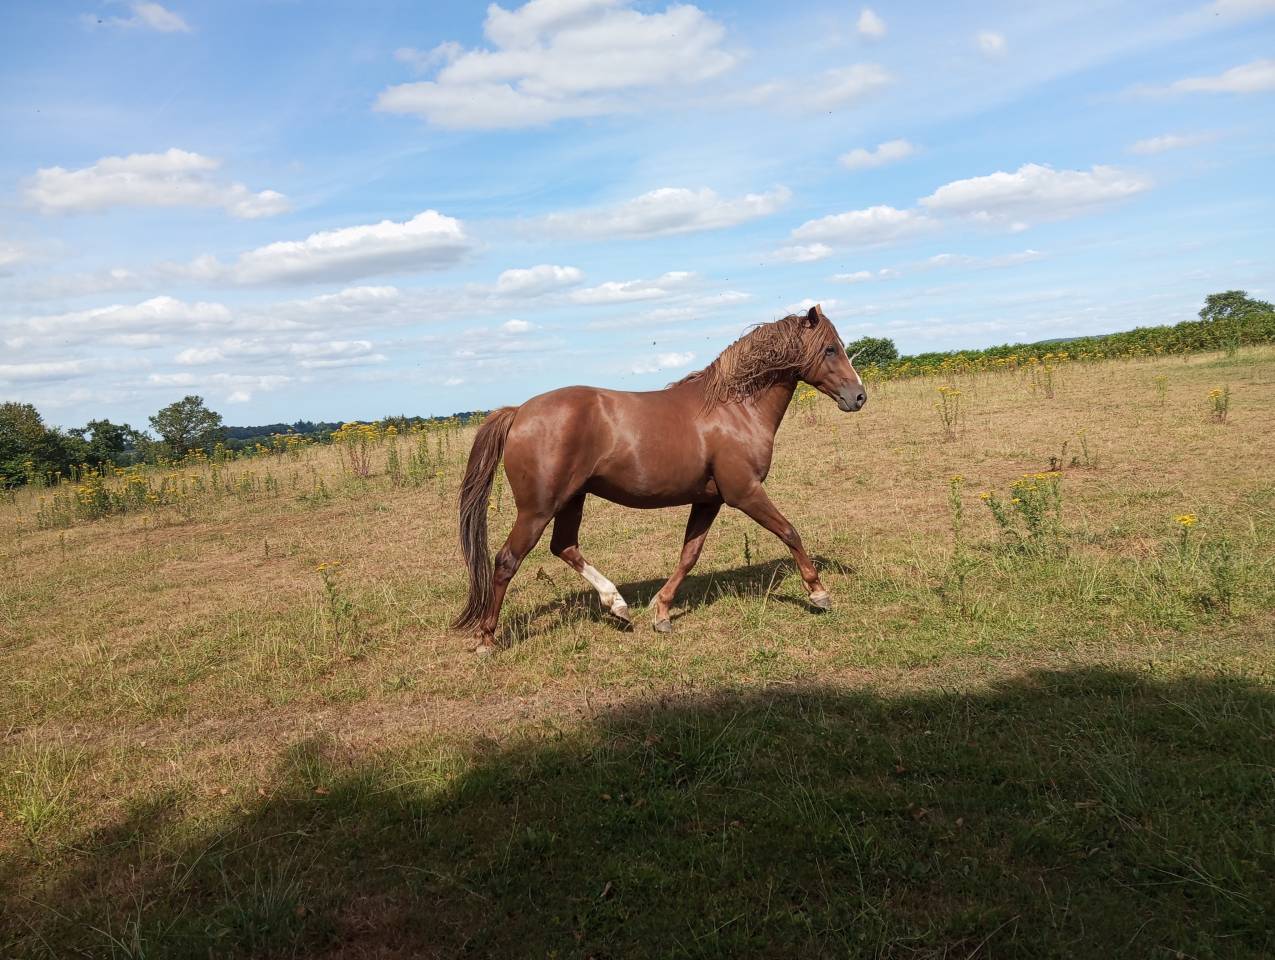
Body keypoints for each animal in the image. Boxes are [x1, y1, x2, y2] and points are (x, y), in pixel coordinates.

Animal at [452, 303, 867, 654]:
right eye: (830, 349)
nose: (859, 396)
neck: (735, 408)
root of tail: (518, 412)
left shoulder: (709, 500)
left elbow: (689, 555)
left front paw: (662, 612)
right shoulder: (745, 493)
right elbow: (789, 532)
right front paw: (818, 593)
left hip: (571, 499)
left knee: (564, 547)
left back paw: (618, 605)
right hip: (537, 509)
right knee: (507, 560)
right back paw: (487, 639)